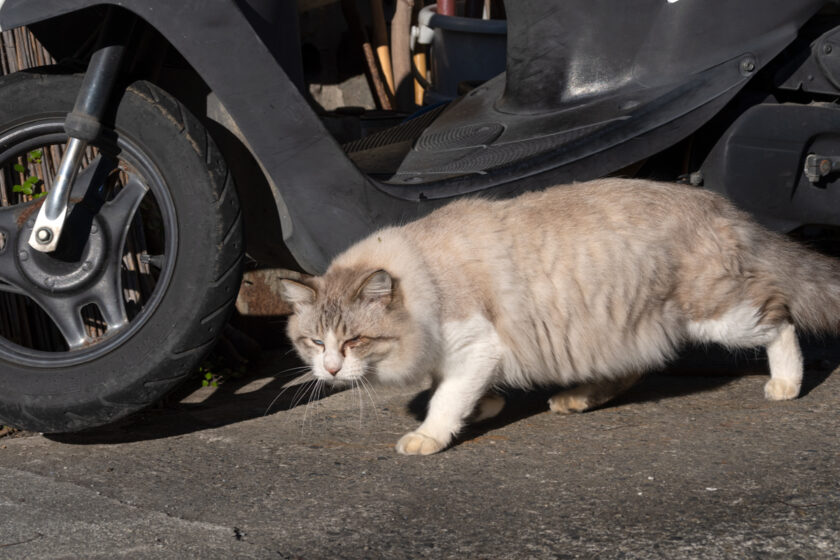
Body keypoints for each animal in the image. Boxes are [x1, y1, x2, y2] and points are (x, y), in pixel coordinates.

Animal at [278, 179, 840, 456]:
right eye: (314, 343)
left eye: (353, 342)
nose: (329, 370)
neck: (425, 276)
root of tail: (722, 205)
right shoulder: (466, 356)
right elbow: (458, 391)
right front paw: (486, 407)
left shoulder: (474, 347)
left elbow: (444, 401)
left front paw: (432, 436)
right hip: (625, 325)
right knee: (635, 368)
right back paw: (576, 399)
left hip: (721, 316)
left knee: (781, 319)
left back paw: (786, 384)